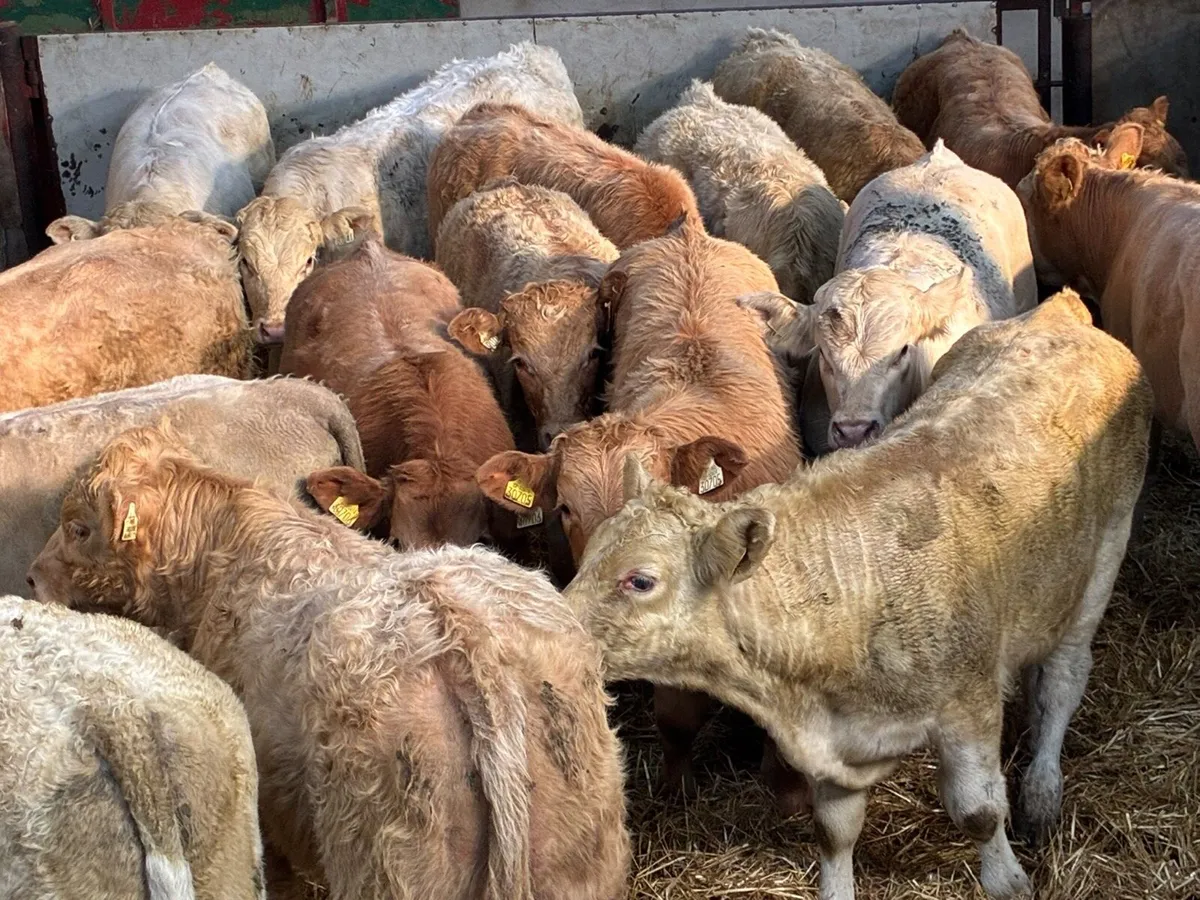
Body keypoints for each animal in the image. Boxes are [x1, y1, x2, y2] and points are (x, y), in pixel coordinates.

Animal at [566, 290, 1153, 900]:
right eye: (588, 552)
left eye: (640, 580)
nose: (560, 628)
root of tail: (1058, 313)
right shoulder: (834, 749)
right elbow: (834, 831)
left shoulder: (969, 703)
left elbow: (979, 811)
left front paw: (1008, 878)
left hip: (1103, 557)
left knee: (1062, 680)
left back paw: (1042, 788)